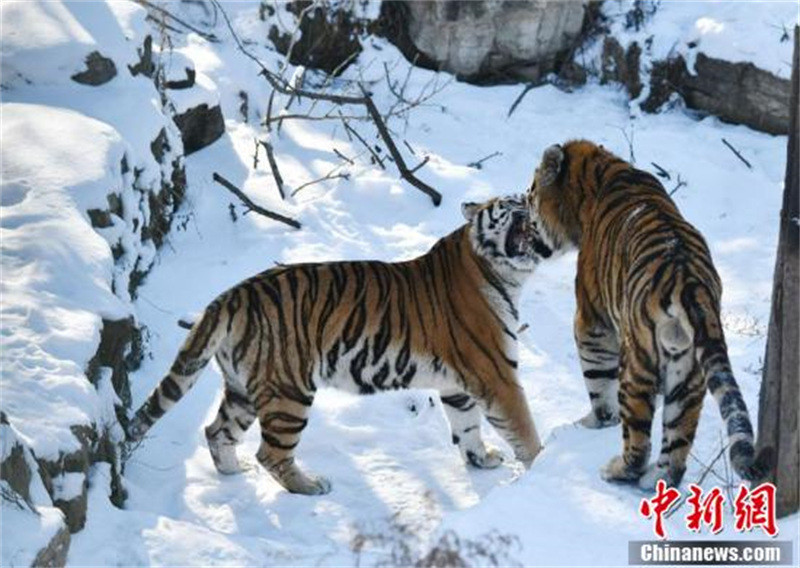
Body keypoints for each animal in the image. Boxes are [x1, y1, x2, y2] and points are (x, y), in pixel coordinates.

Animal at [127, 195, 550, 495]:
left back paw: (233, 472)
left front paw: (482, 460)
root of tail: (229, 296)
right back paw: (310, 486)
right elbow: (522, 425)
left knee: (217, 432)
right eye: (510, 202)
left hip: (243, 389)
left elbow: (467, 426)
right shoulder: (495, 373)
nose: (530, 205)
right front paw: (543, 463)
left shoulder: (457, 384)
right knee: (271, 452)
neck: (502, 272)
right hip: (288, 391)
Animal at [525, 140, 771, 489]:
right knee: (677, 442)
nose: (526, 217)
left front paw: (591, 423)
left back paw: (617, 470)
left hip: (636, 365)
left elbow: (598, 384)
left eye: (531, 194)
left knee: (638, 441)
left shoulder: (592, 320)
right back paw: (659, 478)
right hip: (690, 376)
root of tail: (690, 285)